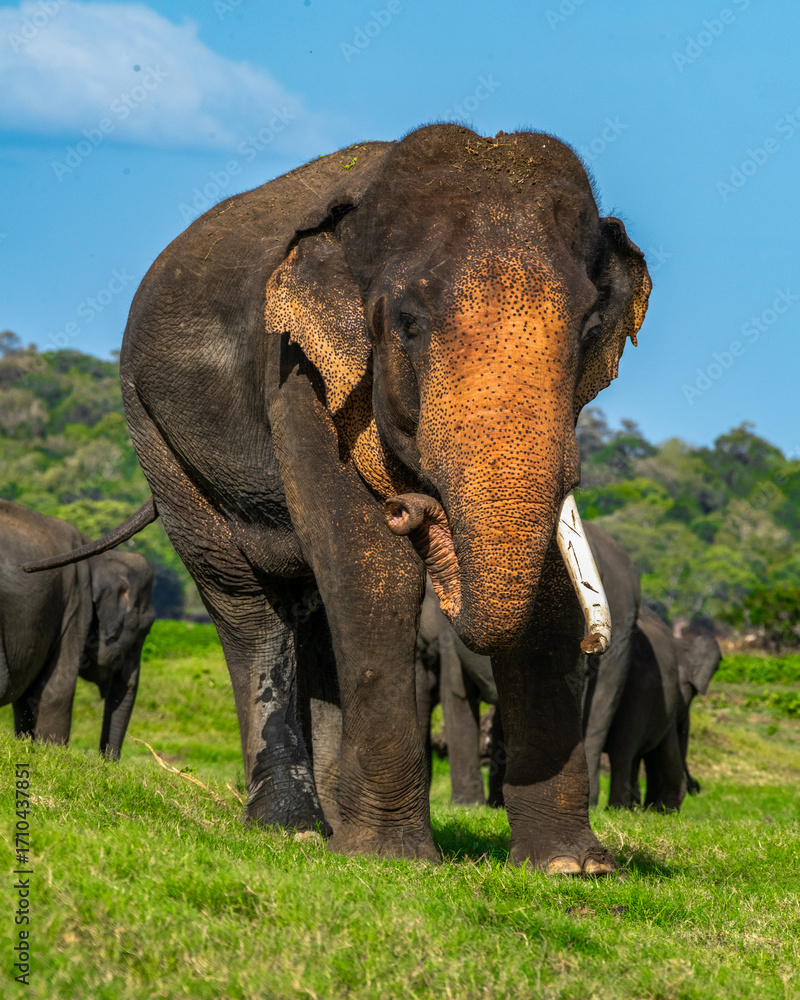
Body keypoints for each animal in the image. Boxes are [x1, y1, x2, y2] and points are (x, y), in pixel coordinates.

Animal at [1, 501, 155, 758]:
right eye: (143, 632)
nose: (106, 762)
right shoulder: (76, 604)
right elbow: (56, 691)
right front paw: (51, 752)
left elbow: (27, 698)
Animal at [26, 124, 651, 872]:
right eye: (407, 322)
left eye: (589, 330)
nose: (414, 504)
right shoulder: (300, 372)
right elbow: (367, 559)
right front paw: (391, 859)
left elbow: (552, 584)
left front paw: (572, 867)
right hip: (156, 436)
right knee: (247, 606)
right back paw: (291, 826)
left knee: (316, 616)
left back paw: (329, 823)